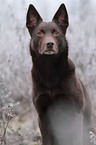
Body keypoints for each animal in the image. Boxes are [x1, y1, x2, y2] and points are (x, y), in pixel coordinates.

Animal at [25, 3, 92, 145]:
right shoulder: (42, 116)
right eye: (39, 33)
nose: (49, 44)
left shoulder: (76, 114)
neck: (50, 70)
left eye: (56, 32)